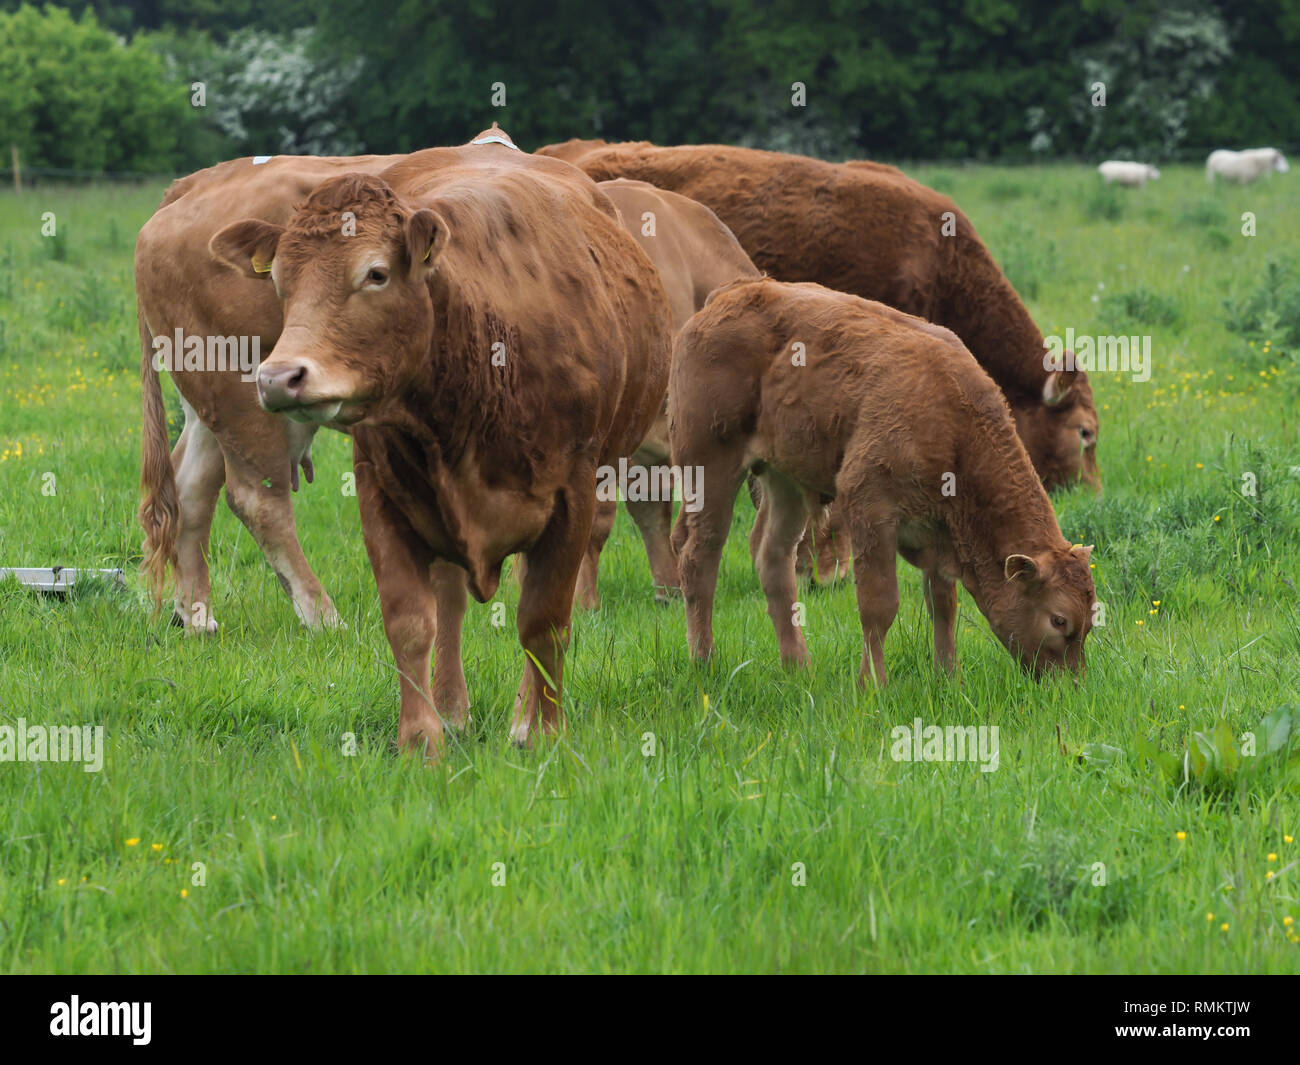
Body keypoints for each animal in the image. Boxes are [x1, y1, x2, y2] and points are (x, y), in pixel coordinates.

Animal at [207, 151, 673, 754]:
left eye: (376, 273)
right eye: (282, 282)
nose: (279, 378)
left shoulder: (572, 495)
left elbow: (544, 621)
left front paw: (542, 731)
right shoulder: (380, 491)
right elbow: (409, 621)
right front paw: (419, 740)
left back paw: (518, 715)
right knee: (449, 601)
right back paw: (452, 712)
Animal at [670, 279, 1095, 684]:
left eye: (1090, 622)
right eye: (1059, 620)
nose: (1068, 685)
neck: (954, 423)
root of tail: (725, 297)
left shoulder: (939, 531)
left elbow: (943, 604)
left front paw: (948, 677)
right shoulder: (871, 509)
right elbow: (880, 605)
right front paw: (872, 683)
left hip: (784, 479)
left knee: (772, 557)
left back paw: (798, 667)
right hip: (709, 466)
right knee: (699, 557)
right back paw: (703, 662)